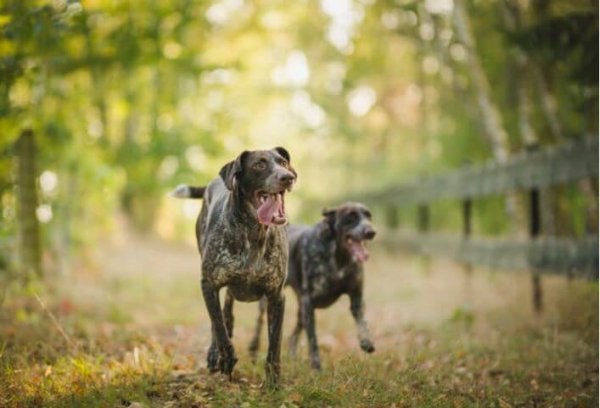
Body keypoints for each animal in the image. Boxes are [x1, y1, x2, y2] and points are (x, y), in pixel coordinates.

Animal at [170, 146, 296, 386]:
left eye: (283, 162)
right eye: (259, 164)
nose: (287, 177)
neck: (253, 232)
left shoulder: (276, 295)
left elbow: (274, 343)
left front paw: (274, 381)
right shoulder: (208, 284)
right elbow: (218, 326)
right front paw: (225, 358)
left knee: (228, 309)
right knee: (220, 317)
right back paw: (214, 354)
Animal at [248, 203, 376, 370]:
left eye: (368, 216)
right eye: (350, 216)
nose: (371, 232)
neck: (338, 258)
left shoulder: (356, 297)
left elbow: (362, 321)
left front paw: (366, 340)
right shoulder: (309, 302)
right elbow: (313, 339)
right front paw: (317, 366)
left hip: (301, 310)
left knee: (293, 336)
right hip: (272, 302)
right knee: (259, 323)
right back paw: (253, 349)